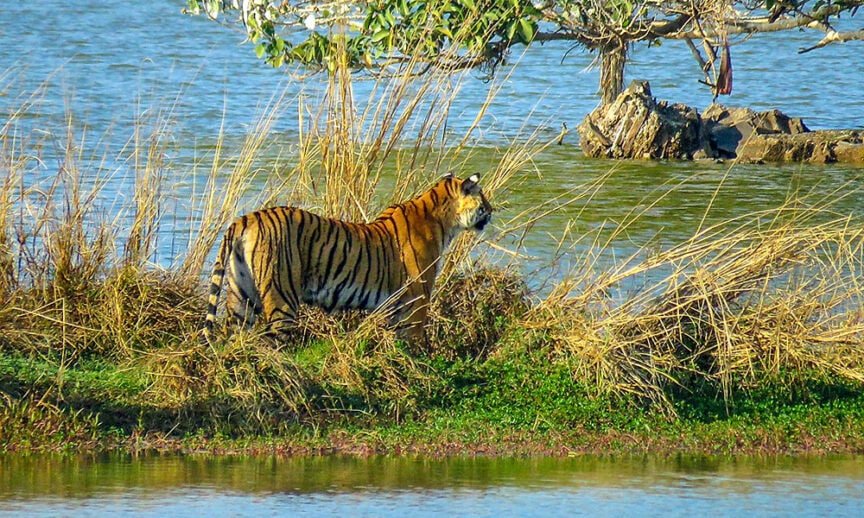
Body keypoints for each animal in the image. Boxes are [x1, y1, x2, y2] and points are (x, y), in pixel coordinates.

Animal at [203, 172, 493, 344]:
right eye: (482, 197)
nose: (492, 210)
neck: (444, 219)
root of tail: (246, 218)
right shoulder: (417, 297)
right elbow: (413, 338)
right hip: (281, 297)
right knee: (271, 342)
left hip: (241, 295)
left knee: (234, 335)